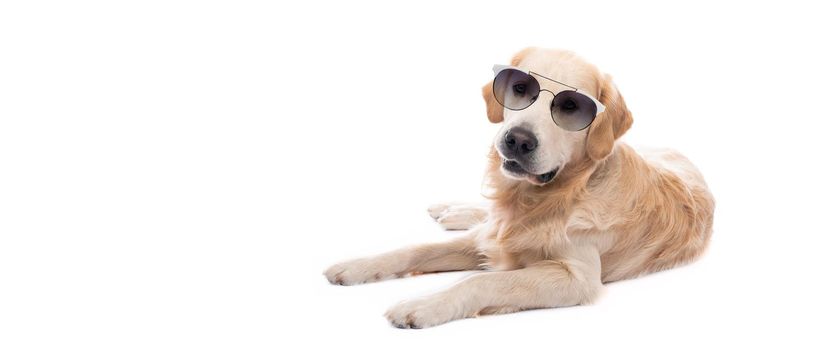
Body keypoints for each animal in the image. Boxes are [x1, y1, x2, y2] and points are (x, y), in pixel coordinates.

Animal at [324, 47, 716, 328]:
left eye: (571, 106)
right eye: (520, 88)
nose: (518, 141)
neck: (545, 197)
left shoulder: (578, 277)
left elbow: (481, 281)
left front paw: (423, 304)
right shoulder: (491, 238)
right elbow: (415, 249)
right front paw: (356, 266)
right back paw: (451, 210)